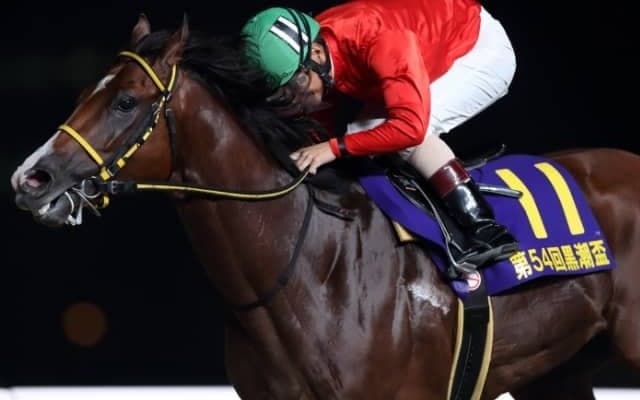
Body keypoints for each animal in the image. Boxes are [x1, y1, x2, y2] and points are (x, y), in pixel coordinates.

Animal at [10, 14, 640, 399]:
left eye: (125, 102)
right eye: (82, 94)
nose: (30, 177)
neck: (308, 267)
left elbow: (407, 120)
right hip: (556, 370)